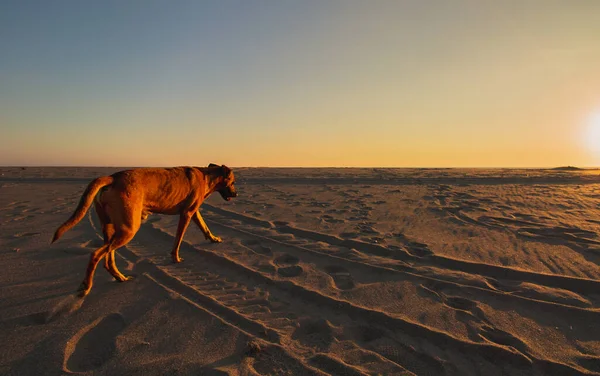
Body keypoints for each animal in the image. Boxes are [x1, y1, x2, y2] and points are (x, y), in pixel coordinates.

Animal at [51, 164, 237, 296]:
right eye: (233, 182)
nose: (236, 194)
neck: (206, 176)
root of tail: (112, 178)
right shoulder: (186, 214)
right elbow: (178, 239)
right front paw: (175, 257)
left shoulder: (193, 212)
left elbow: (205, 226)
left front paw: (214, 239)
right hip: (129, 229)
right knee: (96, 254)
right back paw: (86, 286)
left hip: (111, 228)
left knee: (108, 257)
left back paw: (120, 277)